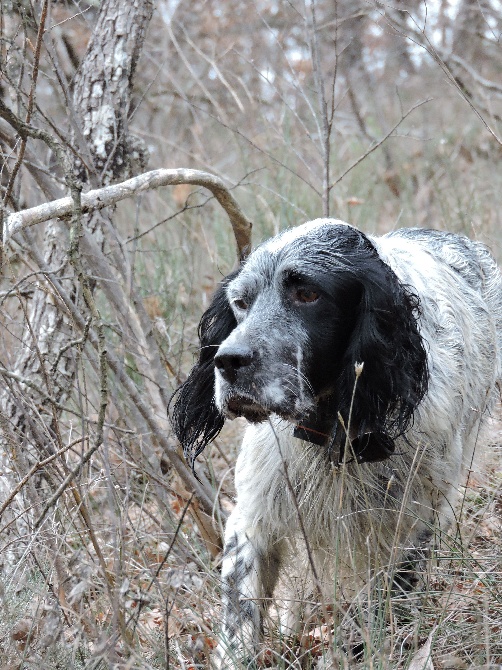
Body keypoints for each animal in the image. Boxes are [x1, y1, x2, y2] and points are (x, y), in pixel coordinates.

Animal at [171, 220, 500, 668]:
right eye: (240, 302)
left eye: (308, 294)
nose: (228, 359)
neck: (333, 423)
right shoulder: (255, 513)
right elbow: (241, 618)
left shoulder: (417, 518)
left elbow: (380, 598)